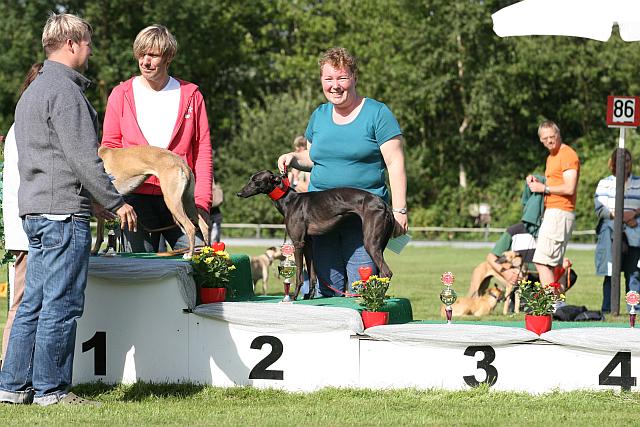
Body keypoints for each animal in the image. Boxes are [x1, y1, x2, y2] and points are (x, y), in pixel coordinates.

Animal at [237, 170, 403, 300]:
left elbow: (298, 274)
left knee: (387, 271)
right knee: (381, 272)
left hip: (370, 242)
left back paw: (378, 297)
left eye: (256, 181)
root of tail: (384, 204)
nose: (239, 193)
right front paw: (308, 296)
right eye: (250, 179)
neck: (289, 200)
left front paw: (293, 296)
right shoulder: (308, 243)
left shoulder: (298, 243)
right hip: (380, 244)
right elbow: (312, 273)